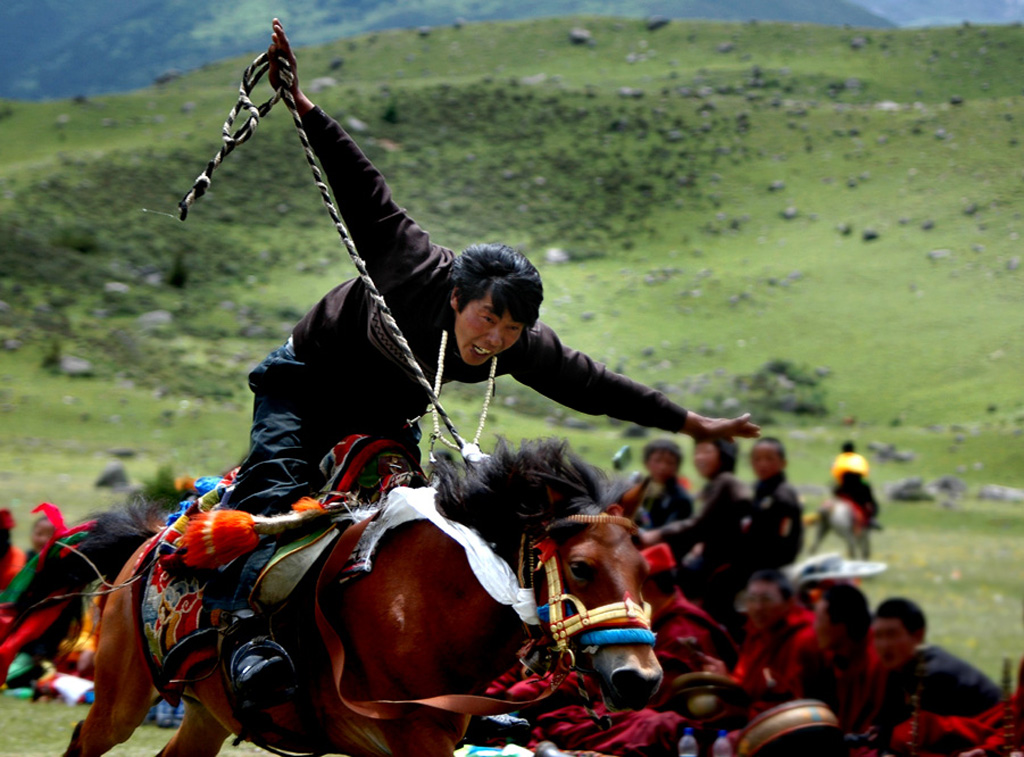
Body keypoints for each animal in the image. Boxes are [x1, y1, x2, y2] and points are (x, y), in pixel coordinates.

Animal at [46, 438, 655, 757]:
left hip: (204, 713)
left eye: (643, 569)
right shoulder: (417, 739)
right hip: (122, 697)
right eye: (580, 567)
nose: (640, 678)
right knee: (86, 740)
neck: (429, 602)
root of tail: (153, 540)